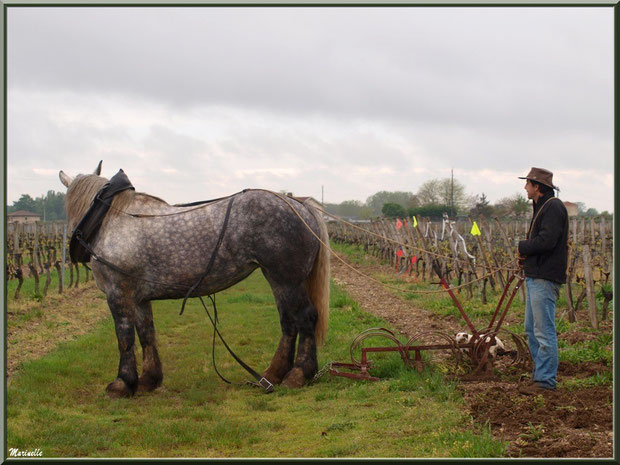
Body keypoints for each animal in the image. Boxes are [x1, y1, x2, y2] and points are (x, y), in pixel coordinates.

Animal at [59, 162, 330, 396]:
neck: (112, 220)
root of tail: (299, 204)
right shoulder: (139, 298)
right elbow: (146, 334)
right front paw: (148, 379)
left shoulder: (118, 292)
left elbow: (124, 337)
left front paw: (122, 383)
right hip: (277, 279)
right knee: (288, 322)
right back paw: (273, 374)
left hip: (288, 280)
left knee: (305, 318)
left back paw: (298, 374)